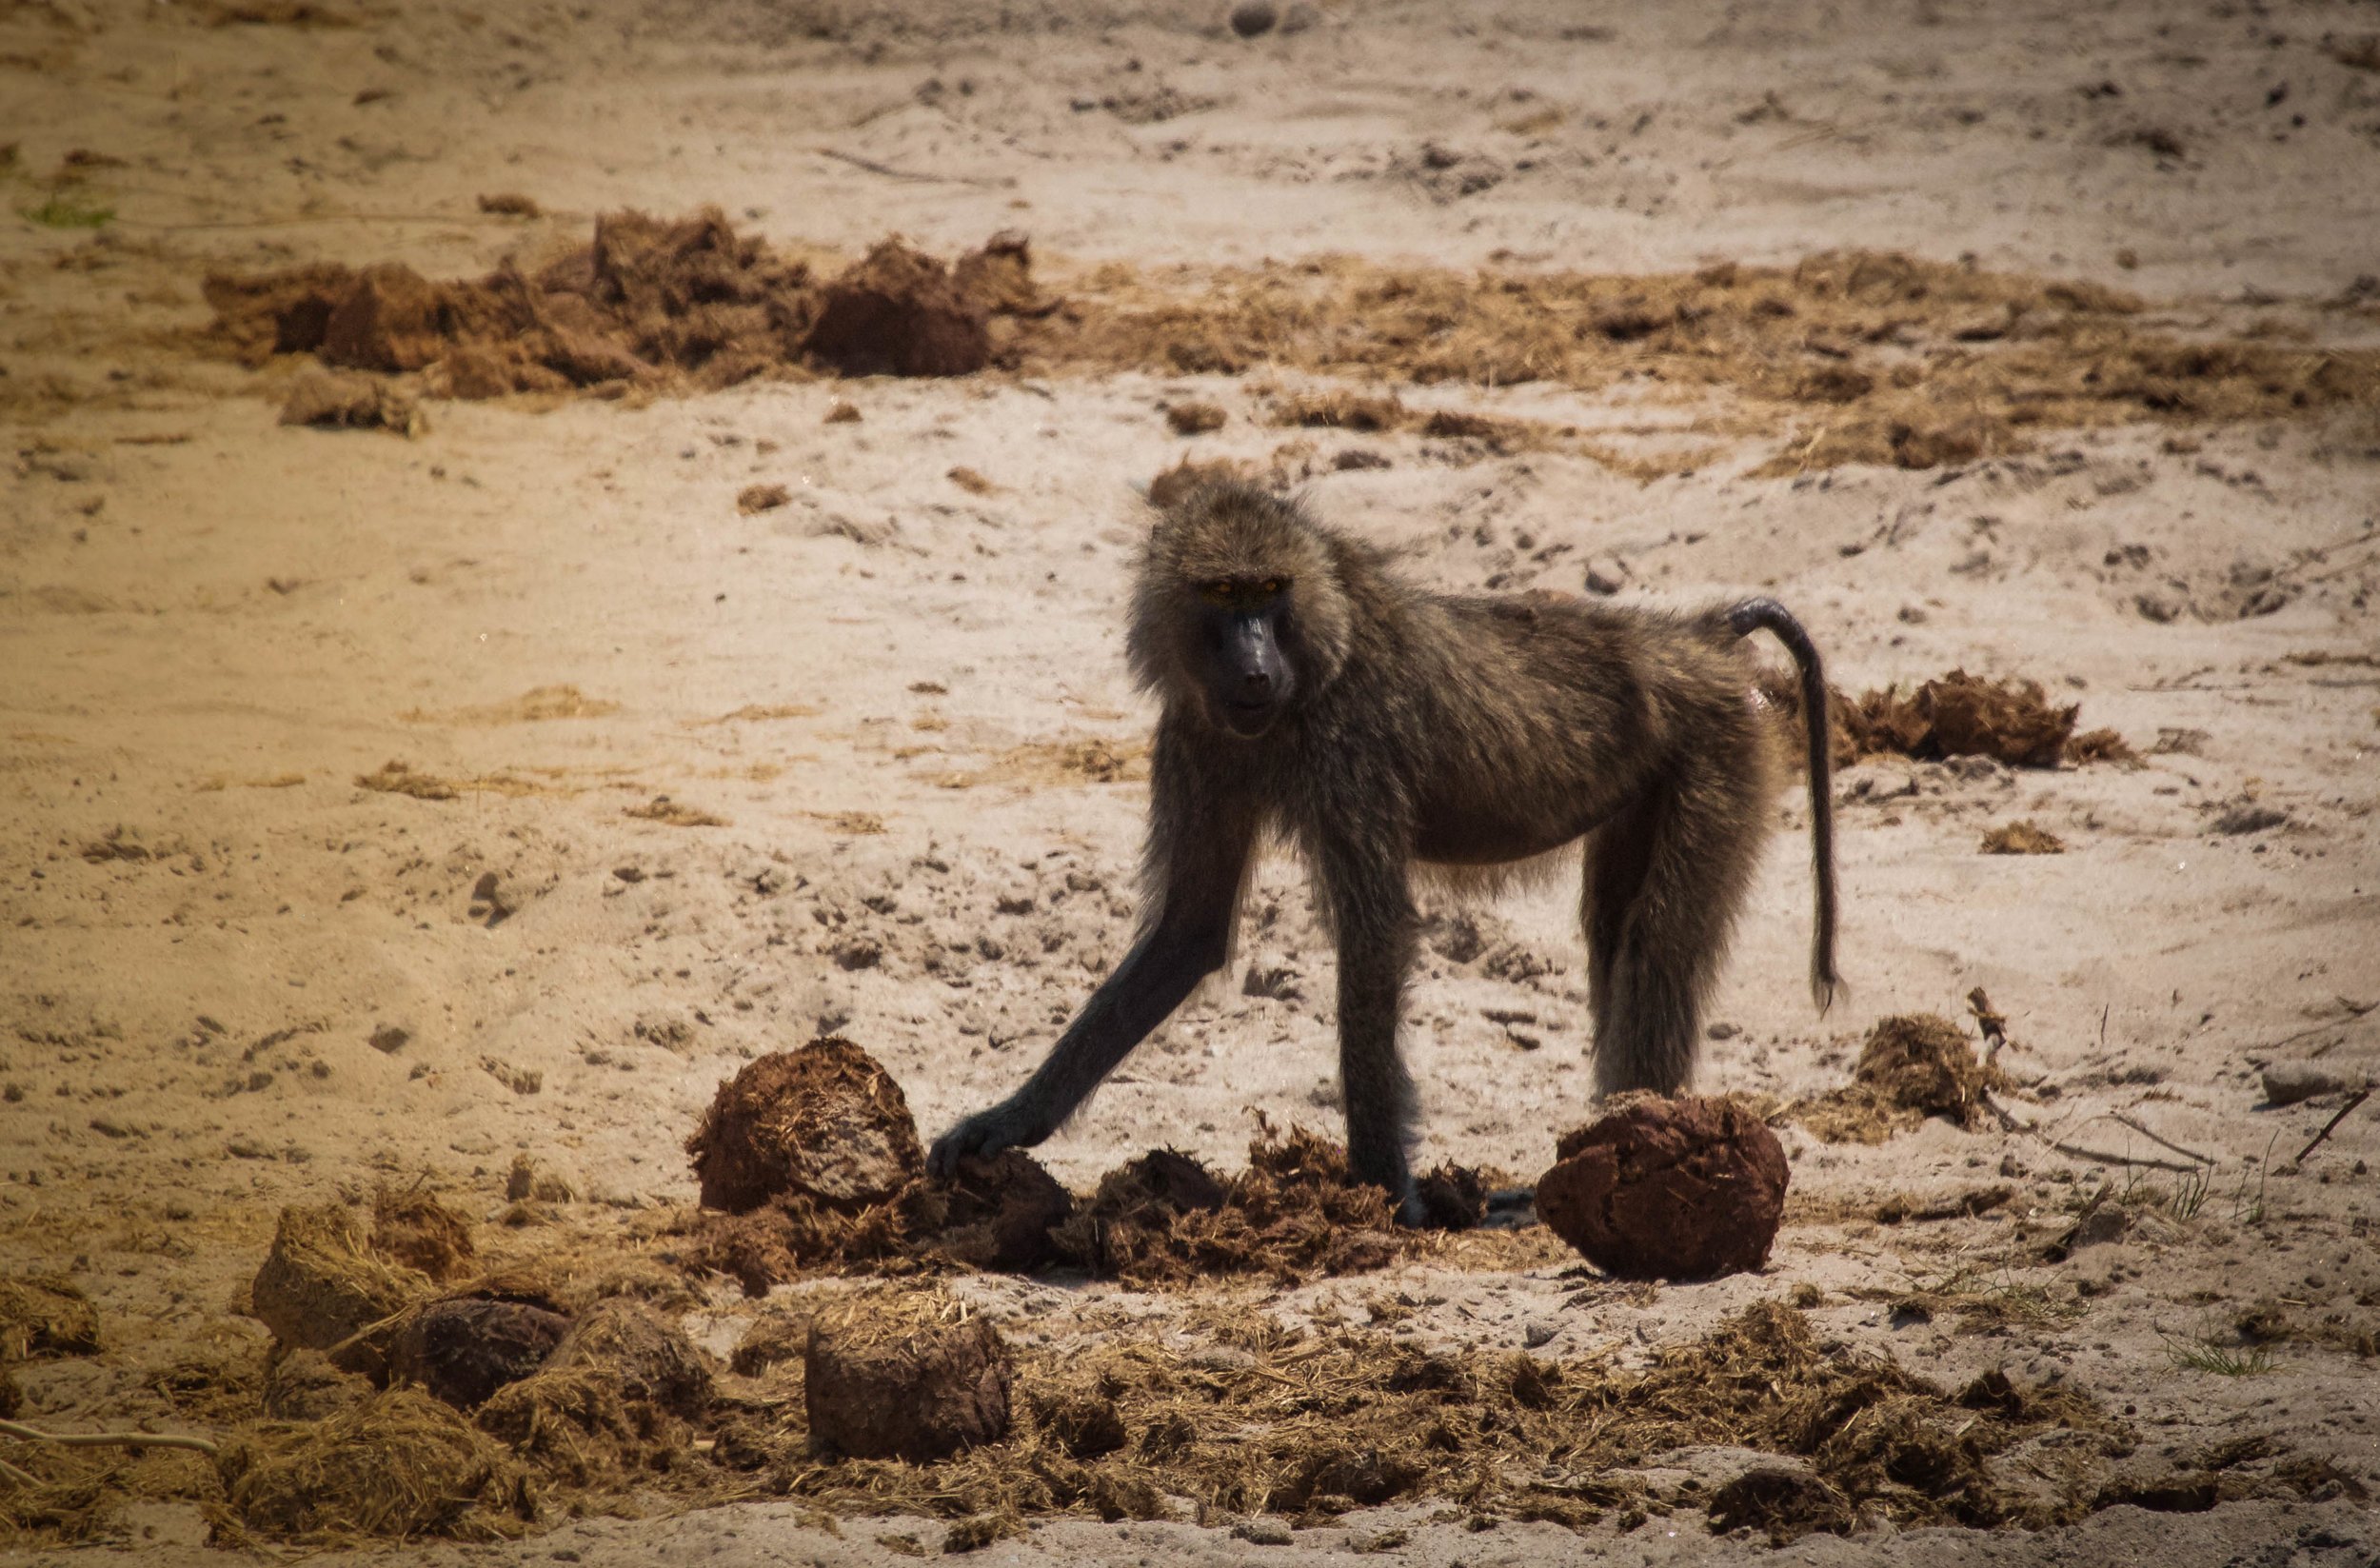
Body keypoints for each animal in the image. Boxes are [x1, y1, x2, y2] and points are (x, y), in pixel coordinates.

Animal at [928, 479, 1839, 1223]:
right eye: (1221, 592)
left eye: (1269, 591)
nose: (1253, 667)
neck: (1312, 666)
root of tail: (1698, 636)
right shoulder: (1197, 739)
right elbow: (1186, 934)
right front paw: (1004, 1122)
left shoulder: (1352, 744)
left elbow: (1373, 933)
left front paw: (1382, 1191)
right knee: (1615, 934)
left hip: (1720, 742)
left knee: (1656, 946)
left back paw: (1630, 1150)